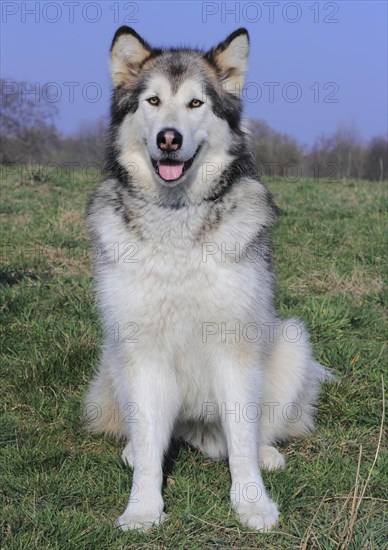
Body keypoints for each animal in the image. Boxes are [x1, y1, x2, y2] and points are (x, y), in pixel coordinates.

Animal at [83, 27, 332, 536]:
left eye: (196, 103)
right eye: (153, 100)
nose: (169, 137)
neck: (177, 218)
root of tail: (197, 428)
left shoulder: (234, 346)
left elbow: (241, 438)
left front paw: (252, 503)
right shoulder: (141, 348)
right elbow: (150, 451)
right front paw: (143, 509)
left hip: (290, 340)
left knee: (254, 431)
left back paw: (266, 451)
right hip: (114, 353)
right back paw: (134, 448)